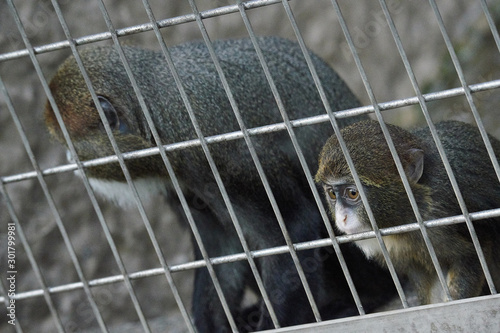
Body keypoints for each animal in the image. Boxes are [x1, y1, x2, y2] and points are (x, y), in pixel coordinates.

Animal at [44, 35, 394, 330]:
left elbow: (292, 227)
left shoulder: (221, 149)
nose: (70, 161)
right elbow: (222, 247)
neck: (154, 108)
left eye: (71, 145)